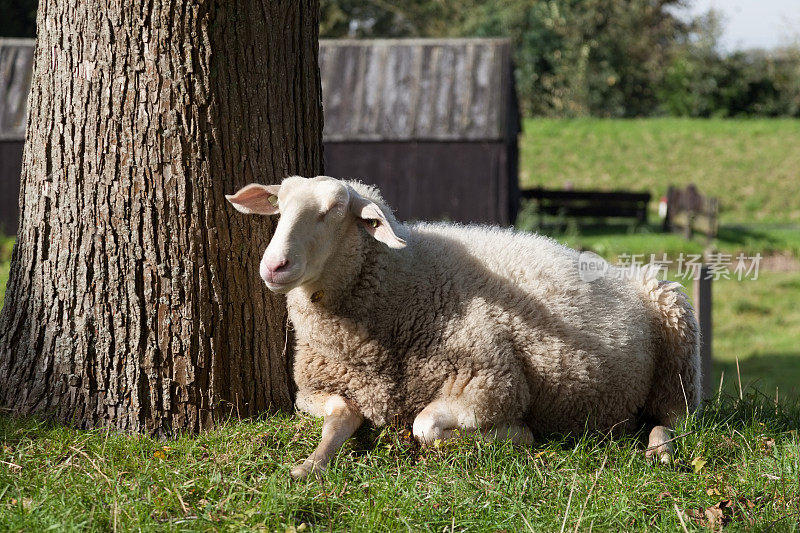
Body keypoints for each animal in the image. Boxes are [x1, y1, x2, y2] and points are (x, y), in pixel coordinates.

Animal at [225, 175, 700, 478]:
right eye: (279, 207)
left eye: (335, 210)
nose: (273, 266)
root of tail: (623, 271)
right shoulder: (316, 388)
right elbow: (339, 418)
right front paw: (311, 465)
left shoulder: (492, 383)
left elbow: (426, 428)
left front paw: (519, 435)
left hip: (677, 349)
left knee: (676, 418)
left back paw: (659, 450)